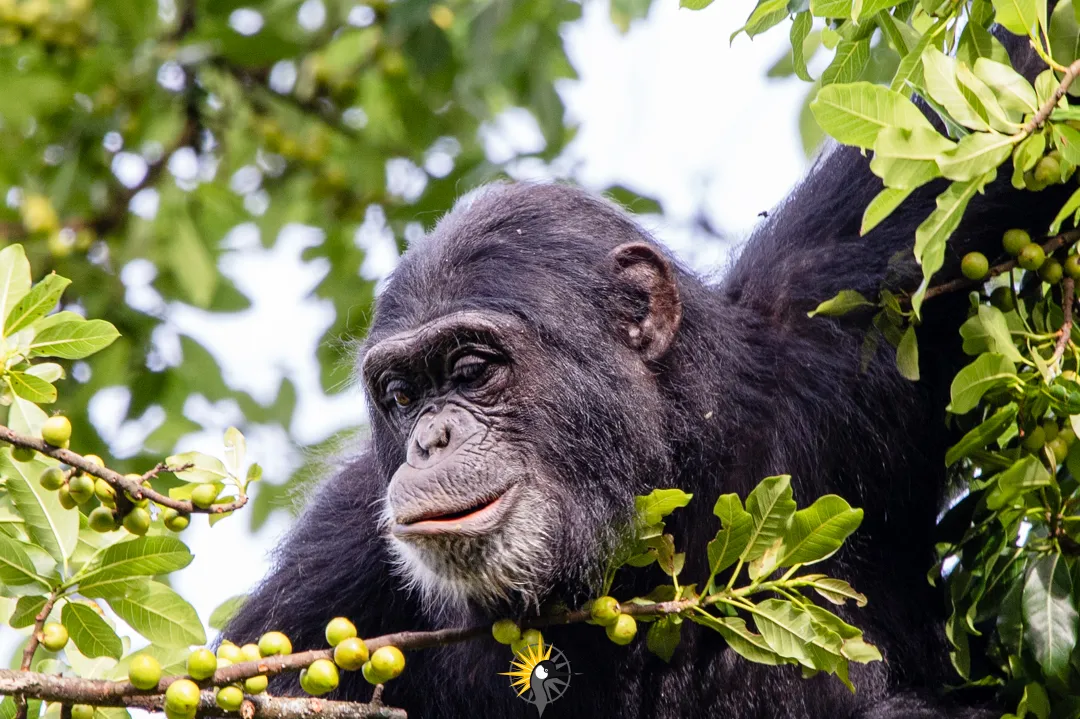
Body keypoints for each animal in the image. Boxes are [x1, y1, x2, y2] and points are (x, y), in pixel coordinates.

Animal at [223, 40, 1075, 716]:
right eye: (402, 396)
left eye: (470, 369)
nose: (430, 438)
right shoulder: (330, 571)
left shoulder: (845, 284)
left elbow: (994, 126)